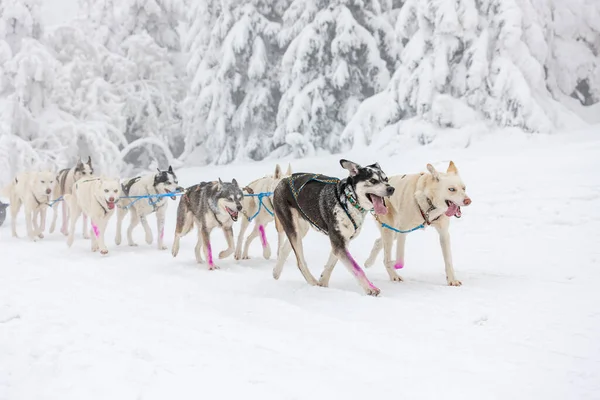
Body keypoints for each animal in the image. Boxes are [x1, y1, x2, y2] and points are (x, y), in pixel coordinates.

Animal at [272, 160, 394, 296]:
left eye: (386, 179)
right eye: (373, 180)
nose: (391, 188)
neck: (348, 200)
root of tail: (283, 180)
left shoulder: (341, 243)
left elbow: (330, 264)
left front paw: (323, 282)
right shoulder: (338, 242)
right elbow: (357, 269)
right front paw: (370, 288)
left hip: (301, 229)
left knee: (284, 250)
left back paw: (276, 273)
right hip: (292, 227)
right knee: (300, 262)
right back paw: (312, 281)